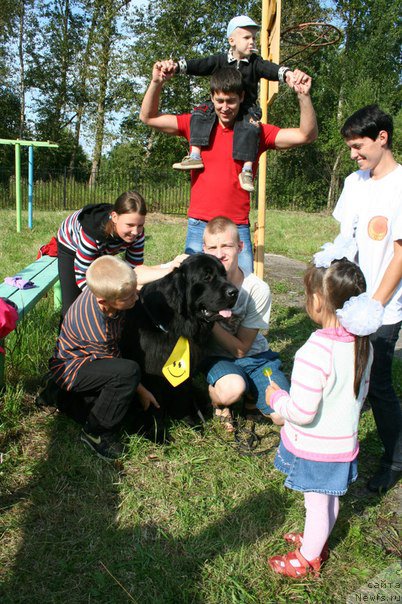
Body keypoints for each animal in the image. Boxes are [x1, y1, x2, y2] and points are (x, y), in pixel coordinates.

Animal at [121, 251, 237, 434]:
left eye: (224, 275)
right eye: (207, 277)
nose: (235, 292)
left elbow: (183, 397)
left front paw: (189, 423)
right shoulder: (152, 372)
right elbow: (154, 403)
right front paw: (157, 433)